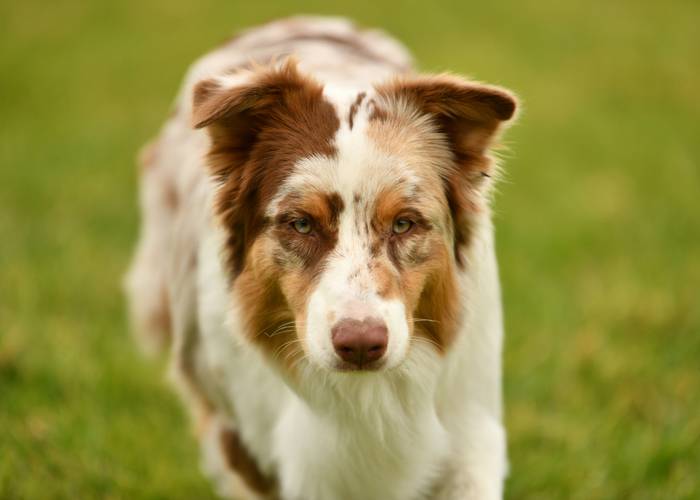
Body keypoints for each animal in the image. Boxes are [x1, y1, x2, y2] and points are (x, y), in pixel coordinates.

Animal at [126, 15, 520, 500]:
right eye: (300, 224)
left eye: (404, 224)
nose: (361, 345)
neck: (365, 398)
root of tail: (295, 19)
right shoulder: (241, 443)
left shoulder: (471, 429)